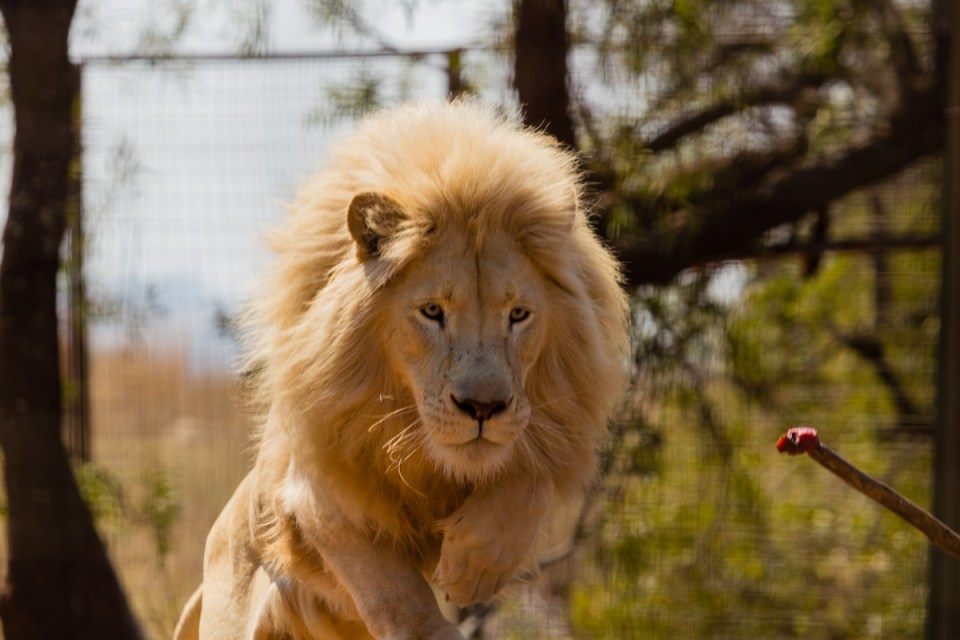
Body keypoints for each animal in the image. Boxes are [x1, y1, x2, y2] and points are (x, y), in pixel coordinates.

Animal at [174, 100, 629, 640]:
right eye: (432, 311)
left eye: (518, 315)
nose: (483, 408)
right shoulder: (314, 489)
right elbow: (397, 594)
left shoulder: (547, 422)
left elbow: (527, 480)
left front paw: (471, 567)